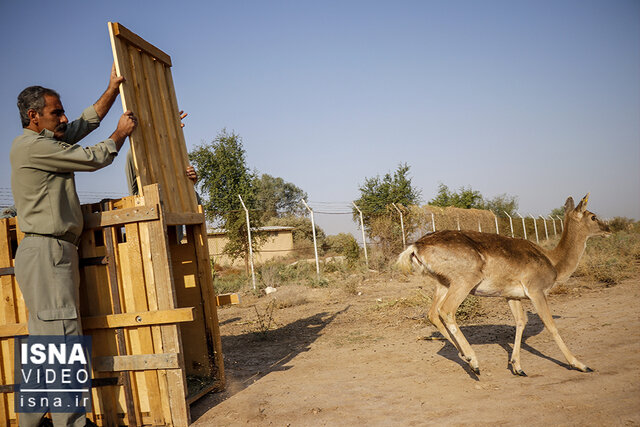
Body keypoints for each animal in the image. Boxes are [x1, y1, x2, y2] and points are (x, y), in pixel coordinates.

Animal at [396, 192, 608, 376]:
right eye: (593, 216)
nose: (608, 229)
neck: (554, 262)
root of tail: (415, 246)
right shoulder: (536, 289)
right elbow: (550, 325)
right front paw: (581, 364)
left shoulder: (512, 295)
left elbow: (521, 321)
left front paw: (517, 367)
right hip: (464, 279)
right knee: (446, 310)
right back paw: (474, 362)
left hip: (443, 282)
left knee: (432, 313)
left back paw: (464, 356)